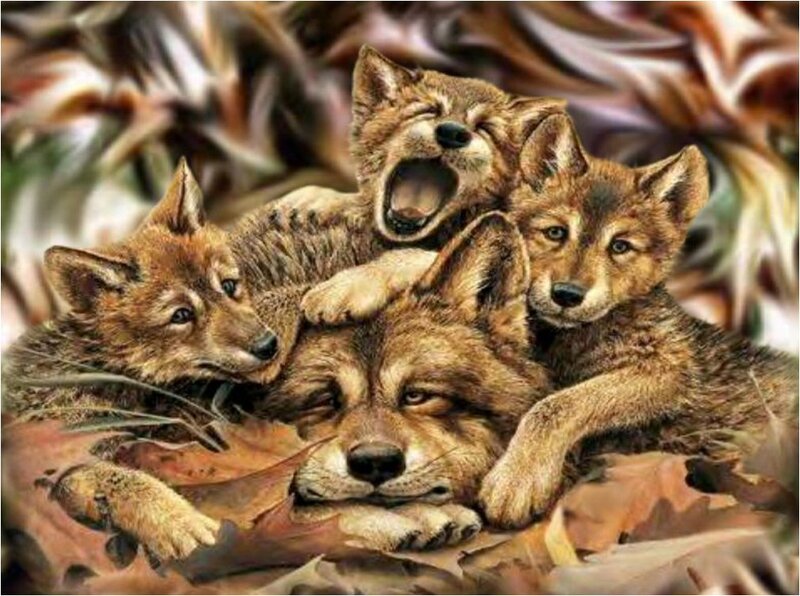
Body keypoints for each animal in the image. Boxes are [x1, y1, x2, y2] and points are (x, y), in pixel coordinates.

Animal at [477, 113, 799, 528]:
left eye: (620, 246)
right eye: (556, 232)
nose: (567, 294)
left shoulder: (666, 371)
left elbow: (557, 405)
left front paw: (516, 481)